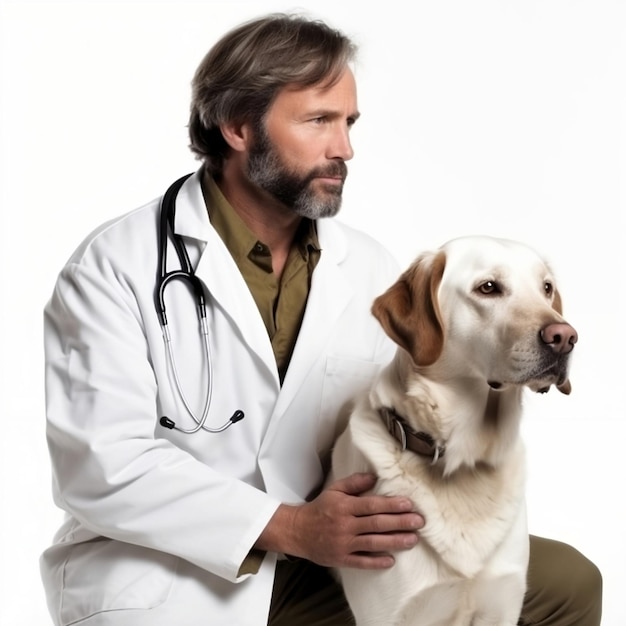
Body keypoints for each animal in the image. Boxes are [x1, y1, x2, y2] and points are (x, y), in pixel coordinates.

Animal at [330, 235, 576, 624]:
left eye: (546, 288)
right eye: (488, 287)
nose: (565, 336)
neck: (467, 457)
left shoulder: (503, 605)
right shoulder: (388, 613)